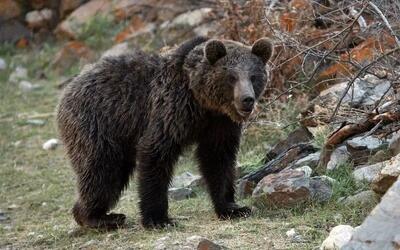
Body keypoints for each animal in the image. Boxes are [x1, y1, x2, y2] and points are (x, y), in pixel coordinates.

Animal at [57, 36, 272, 229]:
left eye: (253, 76)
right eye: (231, 77)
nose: (247, 100)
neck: (202, 102)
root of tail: (71, 86)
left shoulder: (220, 124)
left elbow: (218, 160)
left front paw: (233, 208)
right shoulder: (171, 110)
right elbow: (156, 153)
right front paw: (158, 219)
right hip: (99, 124)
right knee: (102, 170)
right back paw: (97, 218)